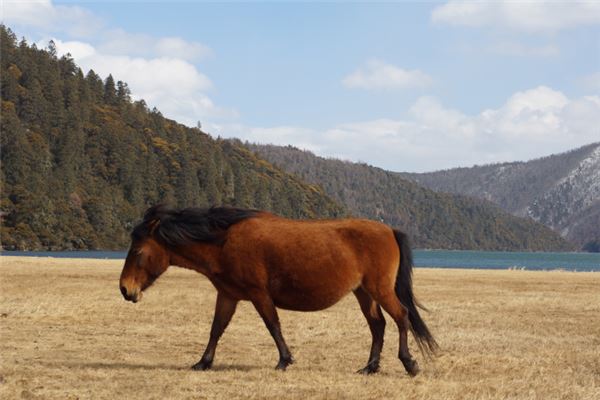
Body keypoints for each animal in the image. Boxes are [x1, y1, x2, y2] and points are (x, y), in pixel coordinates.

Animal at [118, 206, 436, 376]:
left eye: (138, 252)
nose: (125, 289)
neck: (223, 241)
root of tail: (389, 230)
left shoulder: (259, 294)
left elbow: (273, 325)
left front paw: (284, 360)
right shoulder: (228, 295)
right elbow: (216, 329)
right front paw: (203, 362)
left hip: (379, 289)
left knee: (401, 317)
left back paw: (408, 362)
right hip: (364, 293)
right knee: (378, 325)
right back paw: (370, 367)